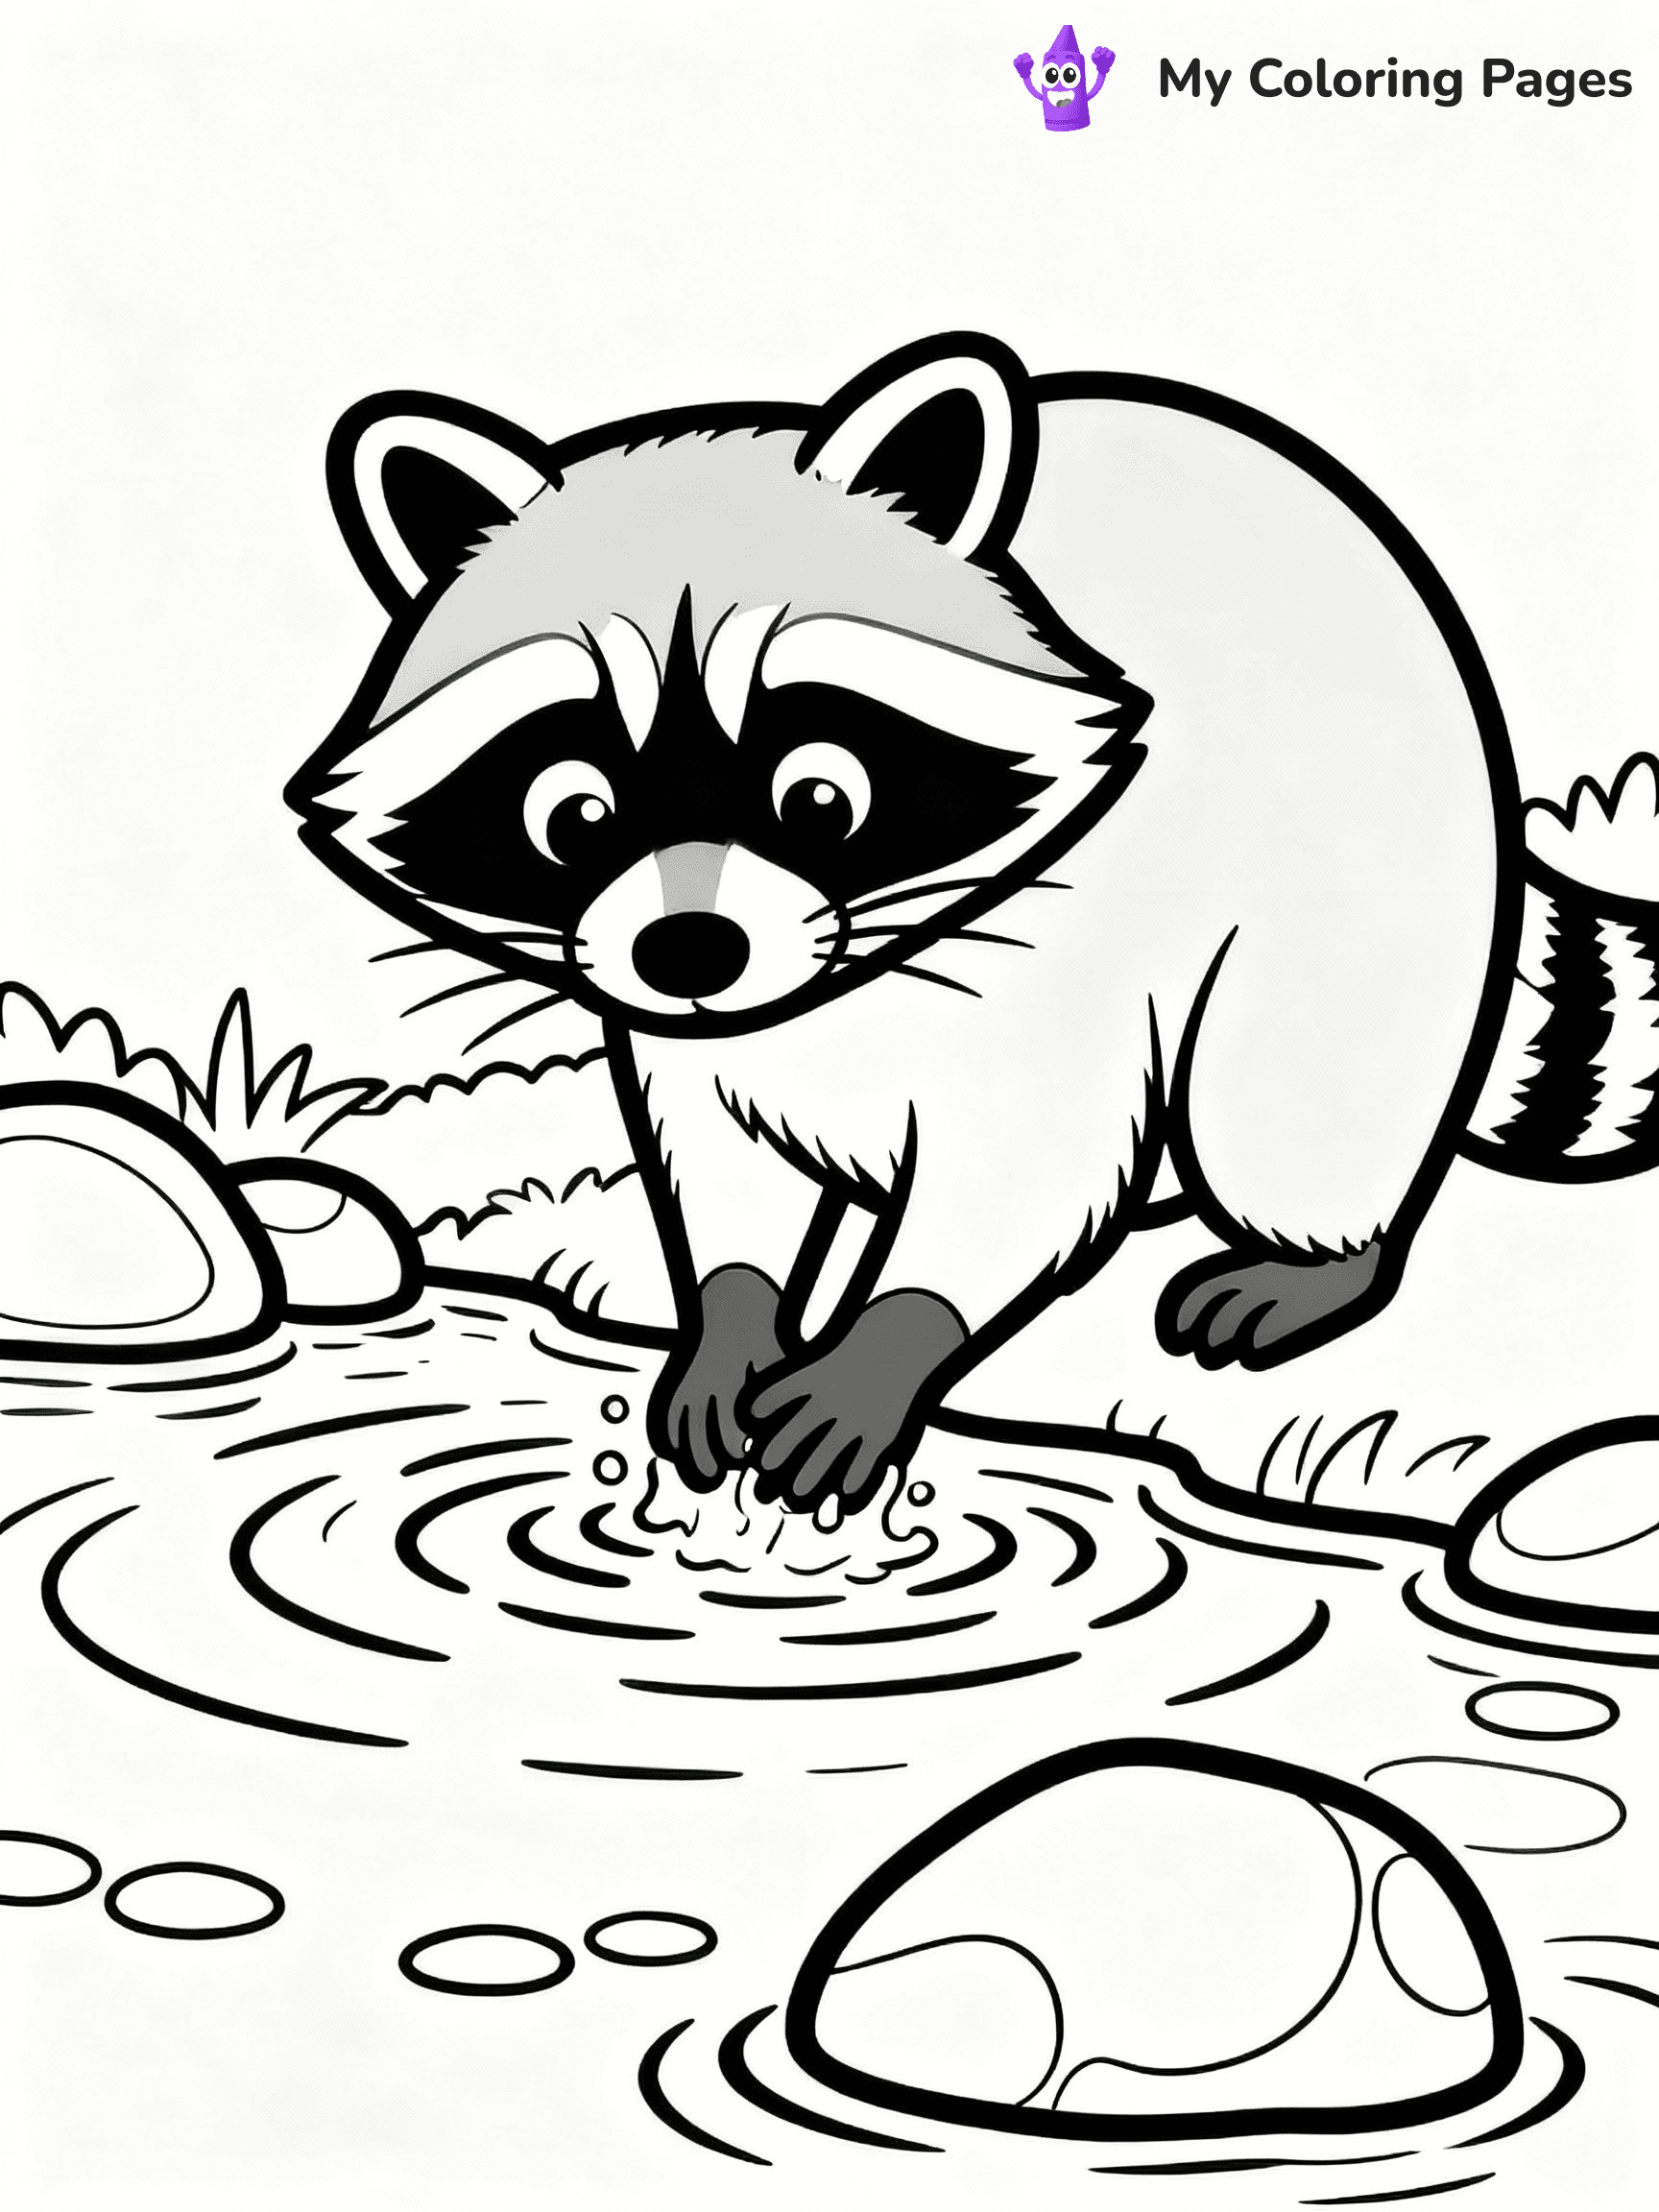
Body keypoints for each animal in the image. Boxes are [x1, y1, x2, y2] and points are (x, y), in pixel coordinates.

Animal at [289, 335, 1659, 1516]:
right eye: (572, 813)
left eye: (822, 795)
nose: (690, 954)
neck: (837, 975)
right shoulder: (684, 1035)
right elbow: (719, 1167)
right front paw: (729, 1317)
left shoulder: (1075, 961)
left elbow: (1026, 1174)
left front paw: (881, 1346)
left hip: (1360, 891)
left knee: (1289, 1096)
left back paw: (1314, 1256)